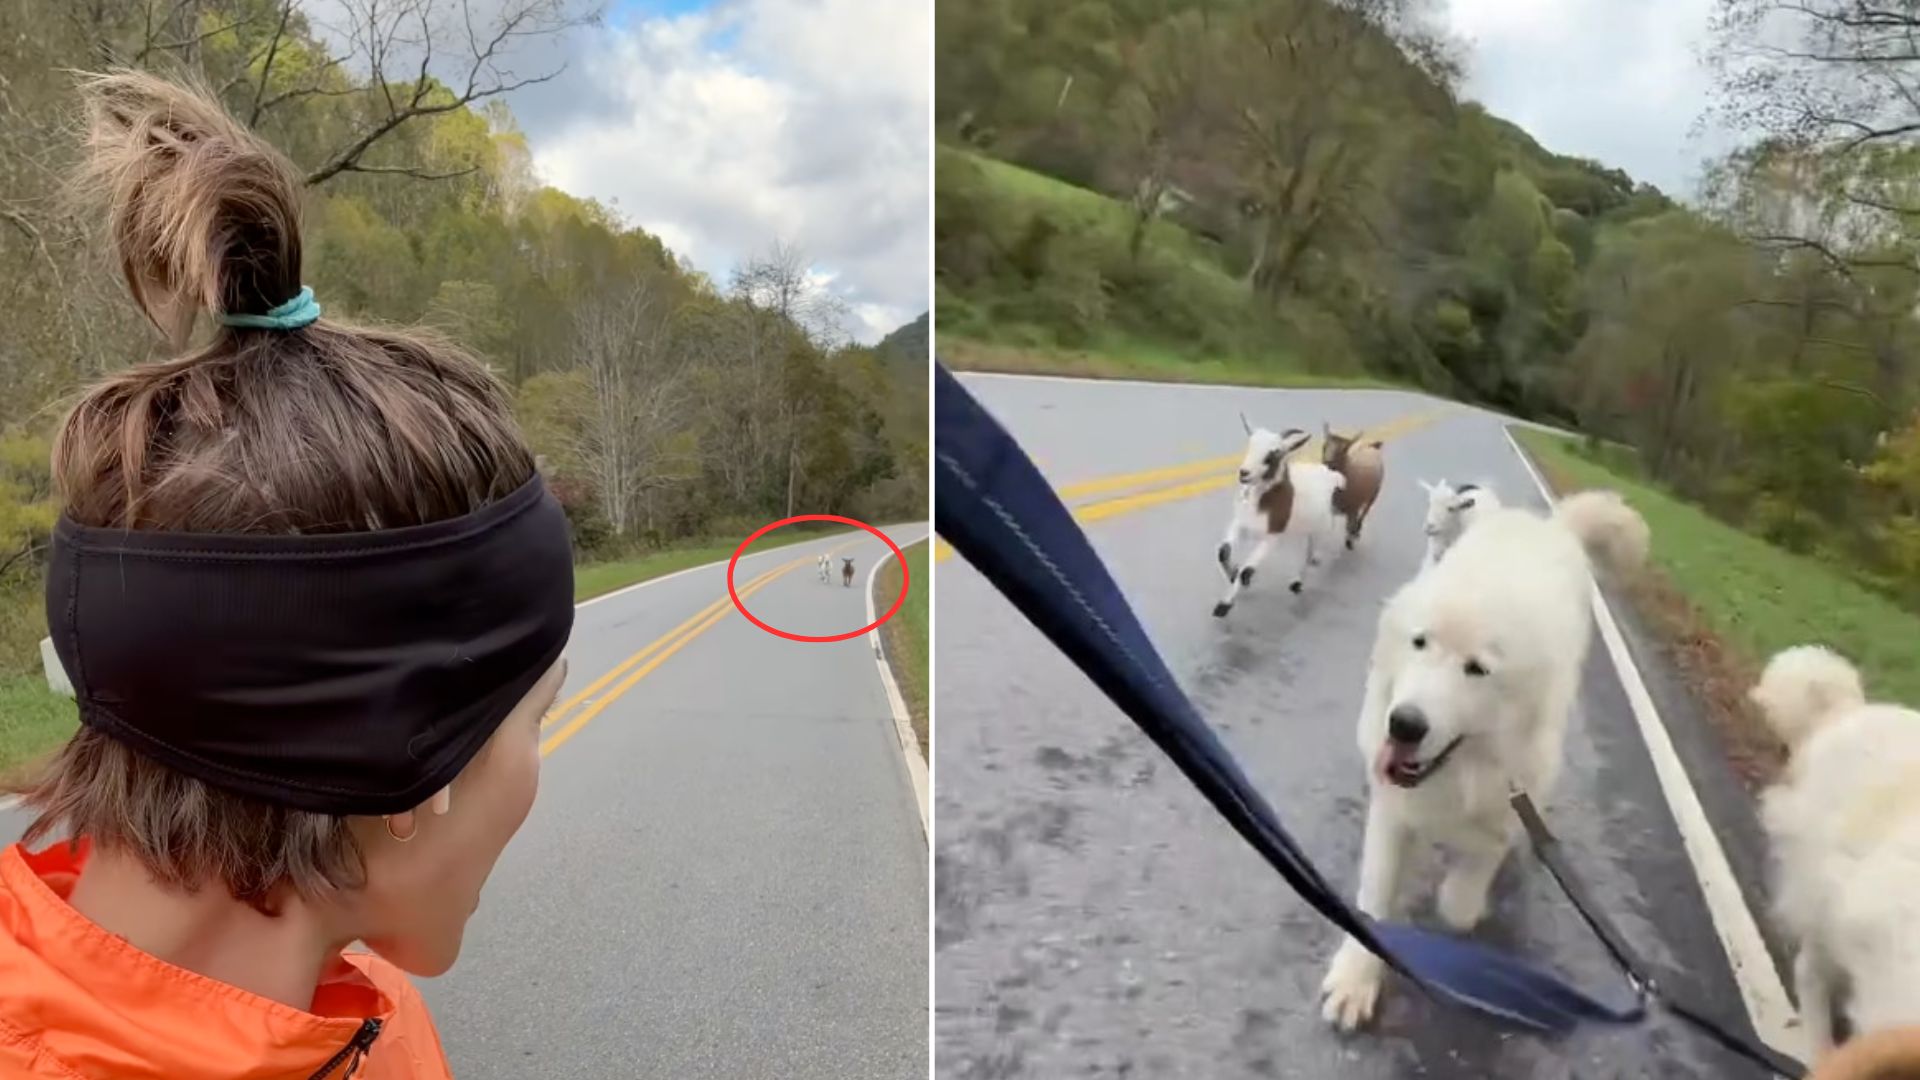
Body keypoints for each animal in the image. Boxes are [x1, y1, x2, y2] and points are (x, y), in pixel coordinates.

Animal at [1213, 413, 1351, 614]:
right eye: (1250, 444)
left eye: (1273, 454)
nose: (1244, 473)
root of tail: (1332, 475)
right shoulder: (1241, 524)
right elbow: (1223, 551)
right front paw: (1233, 575)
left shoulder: (1272, 537)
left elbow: (1246, 570)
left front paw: (1223, 606)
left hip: (1322, 528)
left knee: (1310, 553)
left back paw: (1298, 582)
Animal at [1320, 488, 1651, 1022]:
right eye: (1419, 642)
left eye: (1476, 669)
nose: (1404, 724)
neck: (1460, 770)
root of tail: (1545, 525)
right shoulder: (1393, 810)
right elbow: (1374, 898)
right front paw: (1356, 979)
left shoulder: (1510, 795)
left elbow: (1462, 895)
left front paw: (1464, 897)